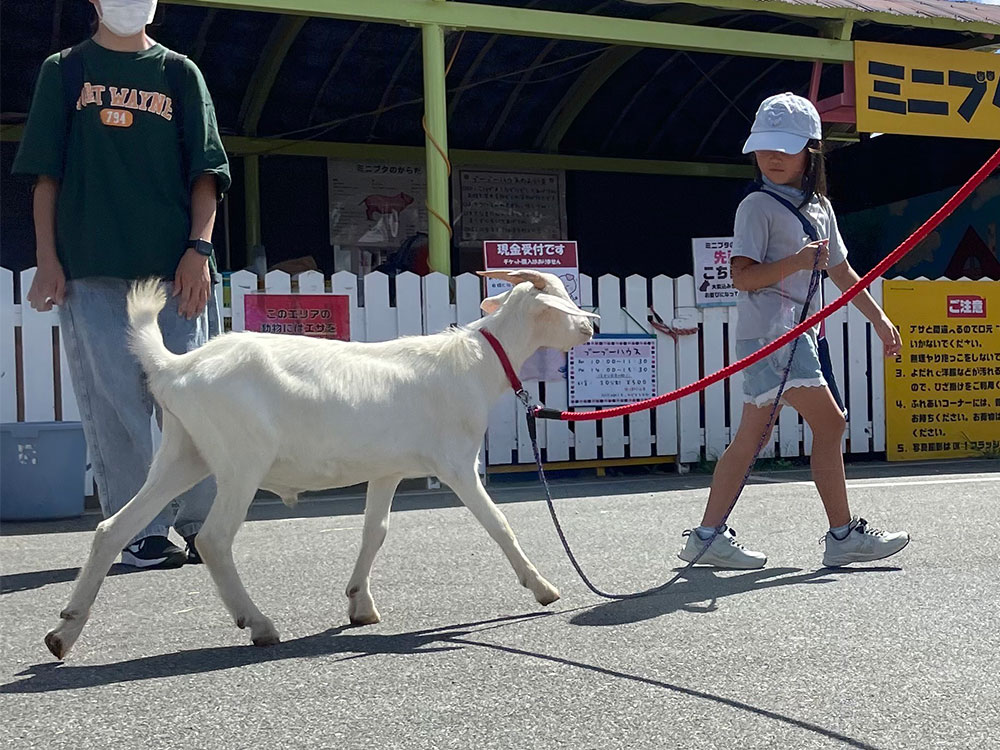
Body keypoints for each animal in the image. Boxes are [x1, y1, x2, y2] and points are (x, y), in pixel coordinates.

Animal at [45, 270, 592, 656]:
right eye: (562, 299)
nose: (593, 324)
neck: (476, 361)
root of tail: (175, 366)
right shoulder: (456, 462)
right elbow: (498, 524)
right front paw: (543, 588)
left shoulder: (388, 468)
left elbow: (375, 531)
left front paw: (360, 605)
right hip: (240, 458)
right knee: (214, 539)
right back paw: (259, 624)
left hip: (184, 453)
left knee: (113, 528)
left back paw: (63, 633)